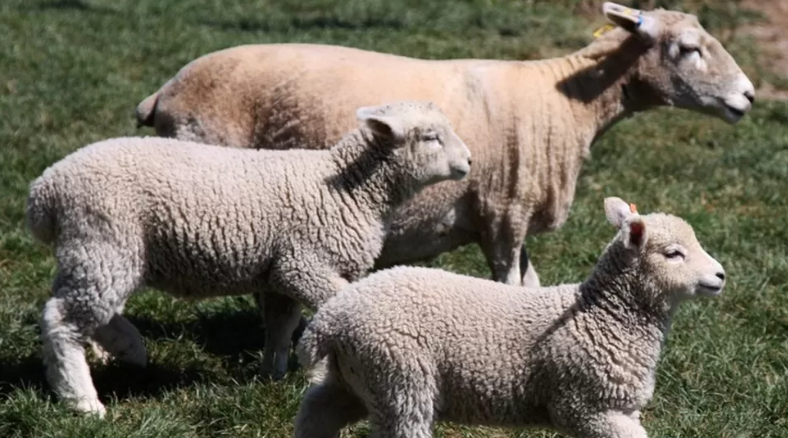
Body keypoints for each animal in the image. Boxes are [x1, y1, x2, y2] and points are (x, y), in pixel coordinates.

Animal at [26, 101, 472, 417]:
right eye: (430, 137)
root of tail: (46, 190)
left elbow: (280, 326)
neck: (349, 188)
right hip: (105, 241)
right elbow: (332, 307)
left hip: (92, 251)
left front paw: (273, 375)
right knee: (63, 320)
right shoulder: (304, 264)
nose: (469, 162)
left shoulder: (280, 272)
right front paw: (318, 370)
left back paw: (126, 348)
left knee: (78, 305)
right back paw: (82, 400)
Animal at [134, 2, 754, 290]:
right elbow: (509, 284)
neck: (568, 101)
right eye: (688, 48)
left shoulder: (507, 216)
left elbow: (528, 283)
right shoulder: (504, 212)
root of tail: (164, 92)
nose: (748, 95)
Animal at [294, 196, 726, 438]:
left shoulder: (615, 408)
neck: (604, 315)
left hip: (358, 379)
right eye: (673, 253)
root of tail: (331, 319)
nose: (721, 275)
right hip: (398, 377)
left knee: (317, 414)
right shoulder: (587, 407)